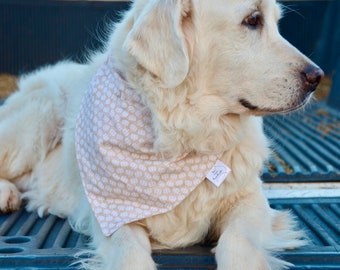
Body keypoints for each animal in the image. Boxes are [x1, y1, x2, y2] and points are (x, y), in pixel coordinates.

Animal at [0, 0, 324, 268]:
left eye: (276, 21)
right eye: (253, 19)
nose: (317, 77)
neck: (185, 134)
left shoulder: (250, 199)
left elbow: (238, 241)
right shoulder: (111, 214)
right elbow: (129, 252)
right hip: (39, 116)